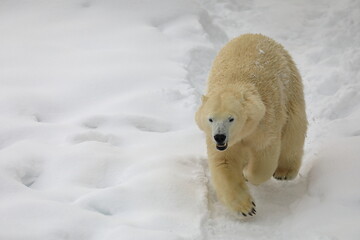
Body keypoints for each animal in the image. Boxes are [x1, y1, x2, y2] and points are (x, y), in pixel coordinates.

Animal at [195, 34, 308, 218]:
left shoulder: (264, 123)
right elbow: (224, 163)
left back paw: (284, 172)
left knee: (294, 128)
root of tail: (255, 34)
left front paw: (247, 174)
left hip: (290, 85)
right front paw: (246, 207)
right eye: (210, 119)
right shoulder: (219, 143)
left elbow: (264, 155)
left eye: (231, 118)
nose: (219, 137)